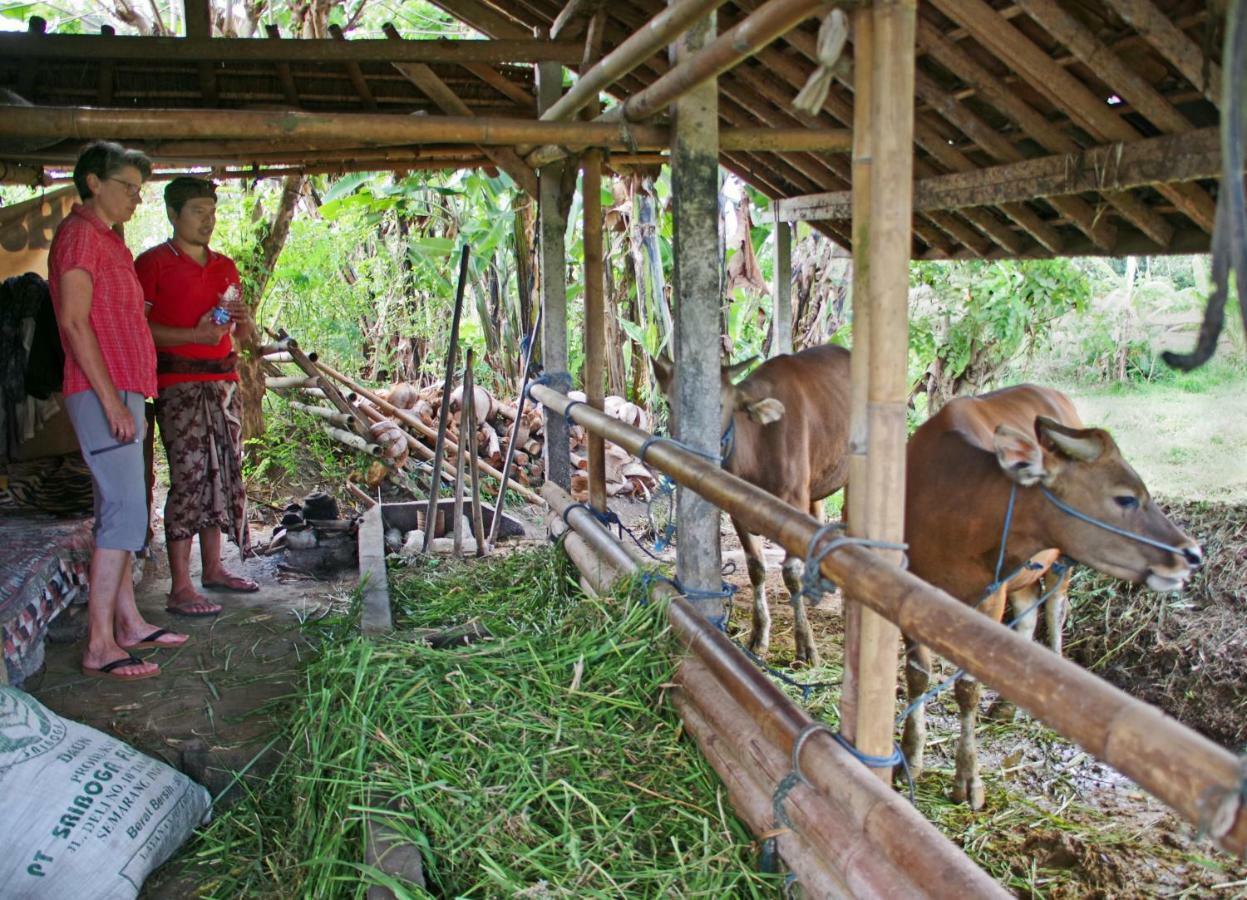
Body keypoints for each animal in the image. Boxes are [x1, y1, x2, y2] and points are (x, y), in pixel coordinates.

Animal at [648, 344, 852, 668]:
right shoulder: (738, 511)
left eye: (719, 405)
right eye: (668, 402)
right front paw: (759, 634)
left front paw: (805, 644)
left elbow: (790, 573)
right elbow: (756, 568)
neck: (757, 447)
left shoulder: (794, 506)